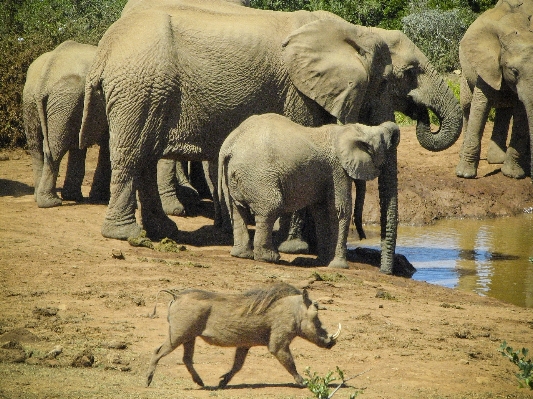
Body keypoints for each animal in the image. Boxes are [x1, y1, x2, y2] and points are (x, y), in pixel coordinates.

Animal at [23, 41, 108, 209]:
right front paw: (101, 198)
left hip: (36, 100)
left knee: (36, 146)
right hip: (65, 98)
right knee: (55, 148)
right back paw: (51, 203)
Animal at [80, 0, 462, 244]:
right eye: (408, 74)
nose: (423, 118)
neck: (357, 33)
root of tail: (106, 47)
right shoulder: (299, 92)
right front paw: (299, 246)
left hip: (144, 90)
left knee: (146, 154)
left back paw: (164, 232)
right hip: (141, 86)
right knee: (133, 155)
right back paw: (127, 236)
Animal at [217, 114, 400, 274]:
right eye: (387, 147)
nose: (384, 272)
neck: (351, 130)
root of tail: (229, 145)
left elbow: (321, 211)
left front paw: (323, 261)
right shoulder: (337, 169)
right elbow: (339, 210)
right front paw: (338, 265)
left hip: (234, 176)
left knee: (236, 209)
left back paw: (242, 254)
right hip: (259, 175)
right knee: (271, 207)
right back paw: (270, 257)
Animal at [454, 1, 532, 180]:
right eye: (514, 71)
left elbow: (521, 115)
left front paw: (512, 175)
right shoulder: (486, 63)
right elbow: (479, 106)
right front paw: (464, 175)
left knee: (505, 110)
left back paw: (497, 160)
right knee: (467, 106)